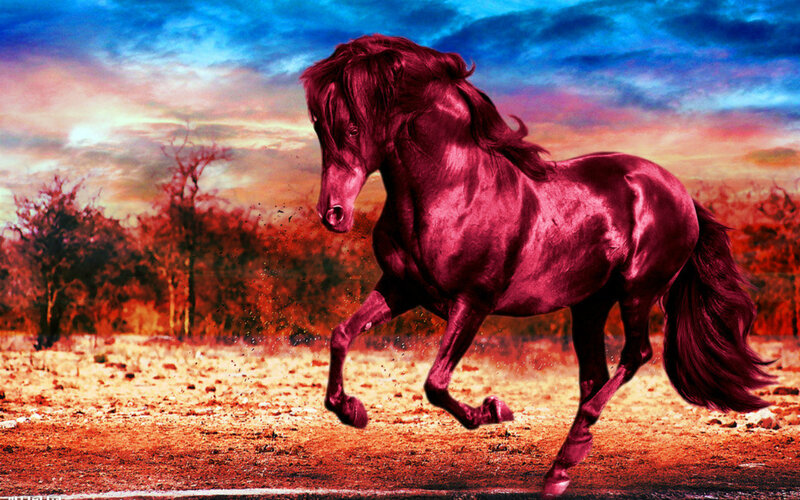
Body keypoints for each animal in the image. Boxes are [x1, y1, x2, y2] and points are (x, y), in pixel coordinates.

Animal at [300, 34, 774, 497]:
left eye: (353, 126)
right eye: (319, 126)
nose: (333, 214)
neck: (452, 190)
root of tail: (680, 193)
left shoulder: (472, 303)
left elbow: (435, 383)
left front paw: (494, 410)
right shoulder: (402, 289)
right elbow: (342, 334)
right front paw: (352, 411)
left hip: (636, 292)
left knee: (635, 355)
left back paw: (569, 453)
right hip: (589, 305)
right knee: (594, 375)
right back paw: (560, 469)